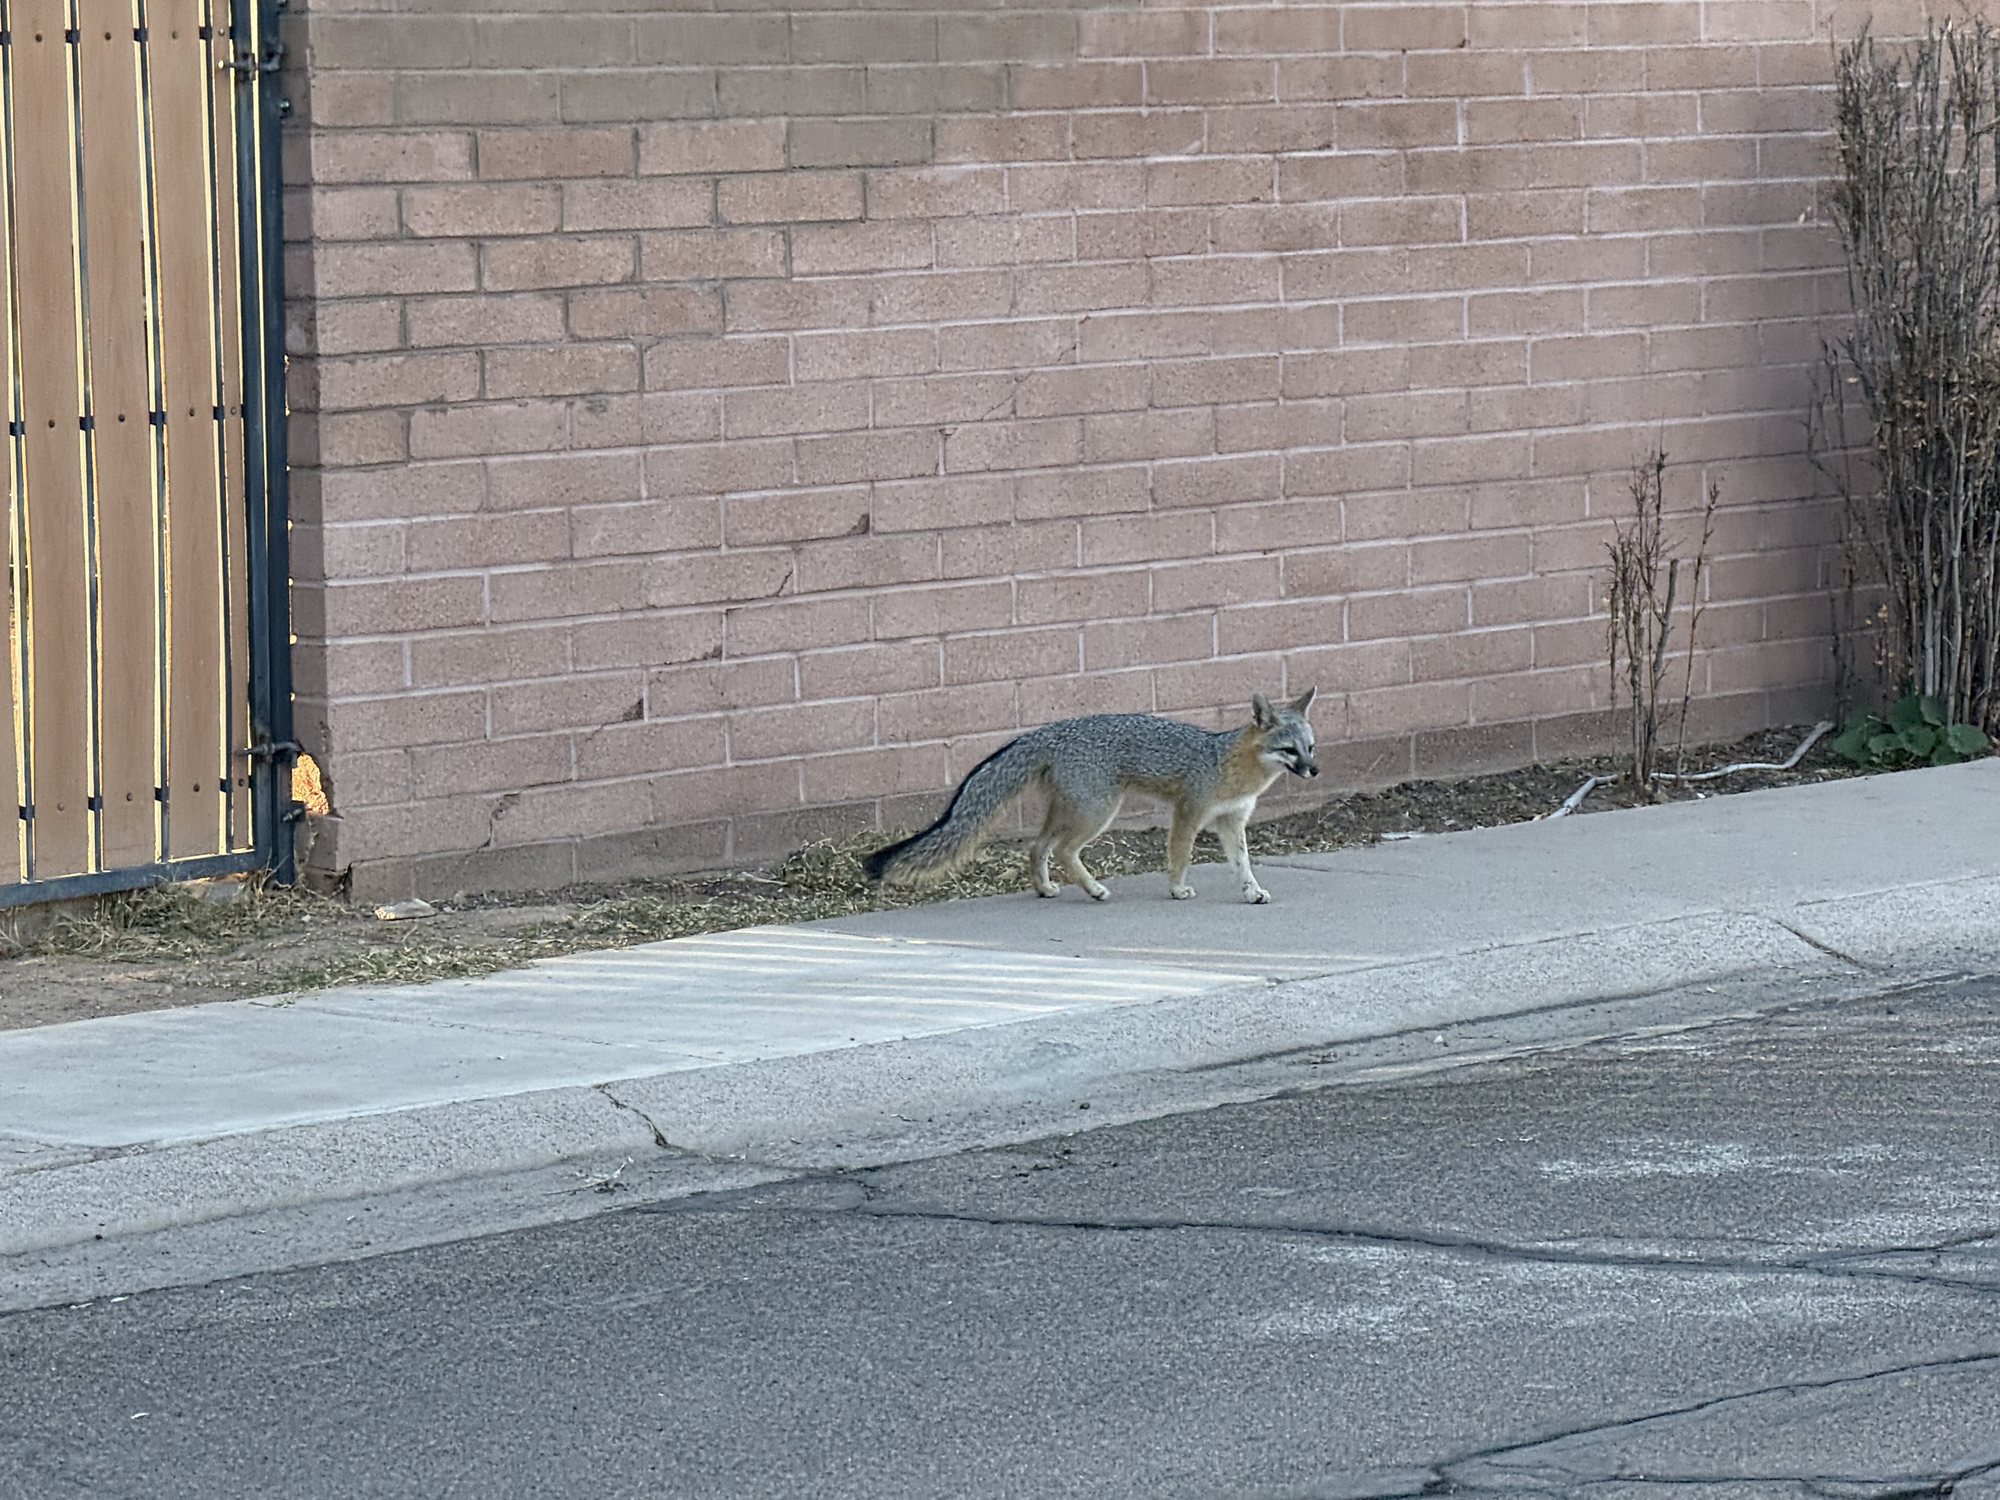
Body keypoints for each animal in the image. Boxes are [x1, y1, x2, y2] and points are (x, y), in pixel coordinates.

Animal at [863, 689, 1319, 905]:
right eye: (1289, 750)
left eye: (1310, 747)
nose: (1315, 770)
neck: (1228, 763)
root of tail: (1050, 730)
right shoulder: (1188, 813)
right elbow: (1181, 855)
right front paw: (1176, 890)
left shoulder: (1231, 821)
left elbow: (1243, 865)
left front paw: (1252, 892)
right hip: (1098, 813)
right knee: (1064, 851)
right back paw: (1095, 890)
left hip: (1072, 811)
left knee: (1037, 847)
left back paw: (1046, 889)